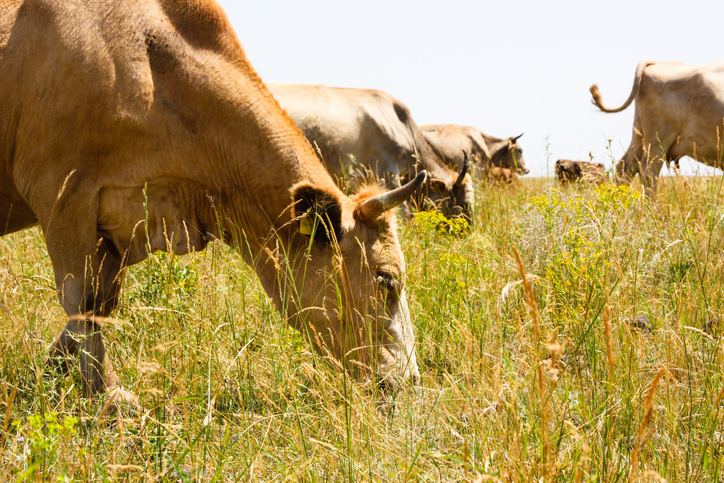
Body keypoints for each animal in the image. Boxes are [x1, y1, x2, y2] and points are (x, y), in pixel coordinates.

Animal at [1, 0, 424, 400]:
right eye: (387, 280)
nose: (412, 383)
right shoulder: (61, 192)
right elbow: (83, 300)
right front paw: (108, 397)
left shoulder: (124, 222)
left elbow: (102, 303)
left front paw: (49, 370)